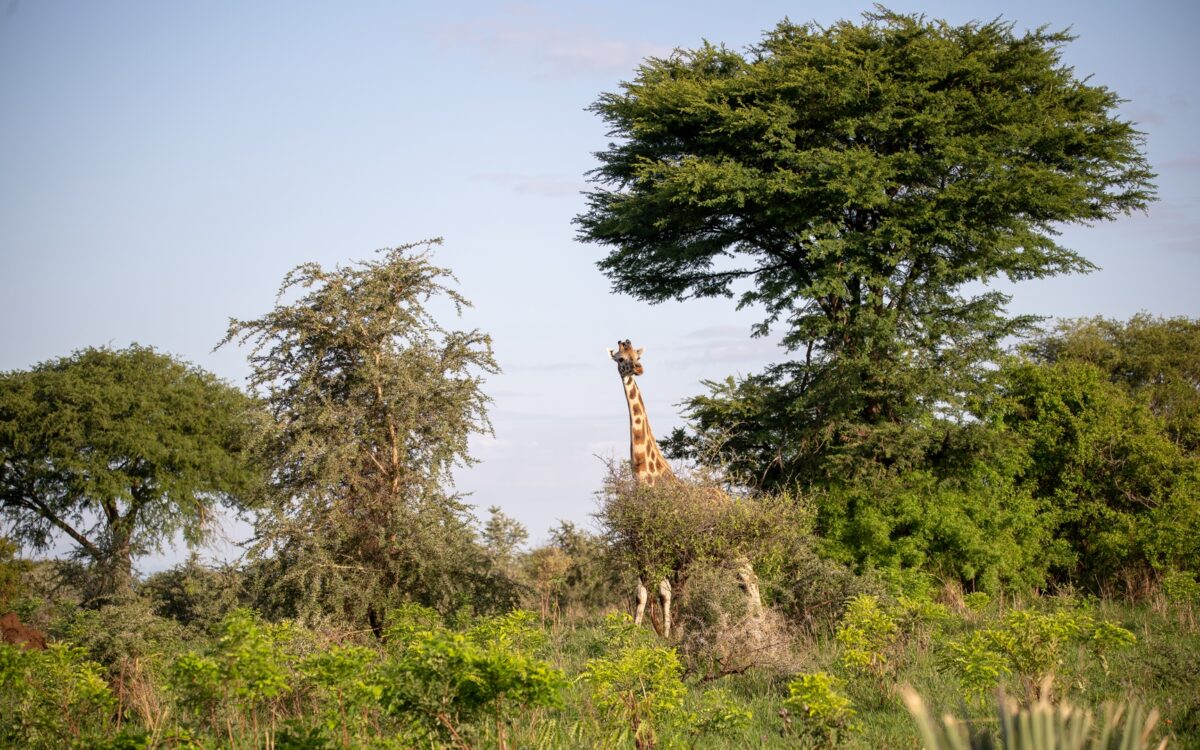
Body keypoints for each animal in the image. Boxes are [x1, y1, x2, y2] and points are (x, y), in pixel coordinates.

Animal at [604, 338, 763, 638]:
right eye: (620, 358)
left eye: (636, 355)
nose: (638, 369)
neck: (646, 477)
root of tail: (728, 501)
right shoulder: (646, 543)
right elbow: (647, 592)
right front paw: (645, 635)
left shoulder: (665, 543)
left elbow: (663, 592)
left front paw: (668, 636)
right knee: (746, 580)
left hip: (731, 546)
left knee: (751, 578)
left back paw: (760, 628)